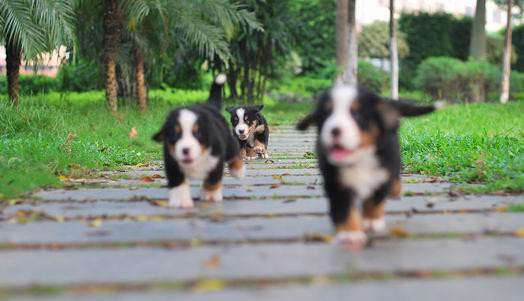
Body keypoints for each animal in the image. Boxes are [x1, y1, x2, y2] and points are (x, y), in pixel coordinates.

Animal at [152, 74, 245, 207]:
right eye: (175, 135)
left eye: (198, 134)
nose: (185, 150)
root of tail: (209, 106)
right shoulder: (172, 163)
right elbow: (177, 182)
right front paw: (181, 201)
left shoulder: (215, 160)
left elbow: (212, 181)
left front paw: (210, 195)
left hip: (228, 144)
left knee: (234, 153)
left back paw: (238, 171)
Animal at [298, 85, 442, 248]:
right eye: (326, 114)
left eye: (357, 114)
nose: (334, 130)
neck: (360, 158)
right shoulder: (337, 183)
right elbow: (344, 208)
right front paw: (350, 233)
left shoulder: (382, 174)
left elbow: (374, 200)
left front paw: (371, 221)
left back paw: (395, 190)